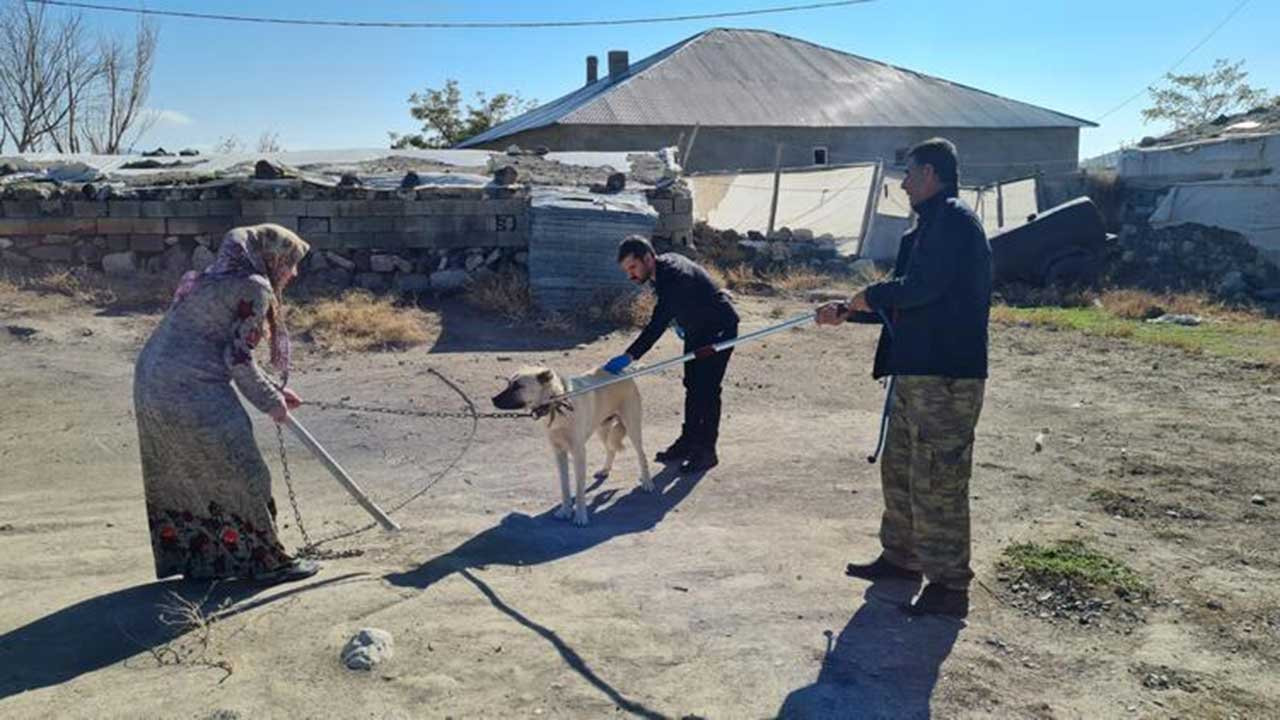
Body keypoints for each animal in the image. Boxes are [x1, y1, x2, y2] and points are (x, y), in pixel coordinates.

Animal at [488, 366, 650, 525]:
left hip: (632, 427)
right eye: (508, 384)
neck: (557, 404)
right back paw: (605, 470)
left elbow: (579, 489)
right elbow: (564, 486)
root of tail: (624, 372)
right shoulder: (559, 452)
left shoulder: (579, 453)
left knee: (642, 455)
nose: (493, 399)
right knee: (611, 449)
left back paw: (647, 483)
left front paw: (580, 515)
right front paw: (565, 510)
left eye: (518, 386)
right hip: (602, 428)